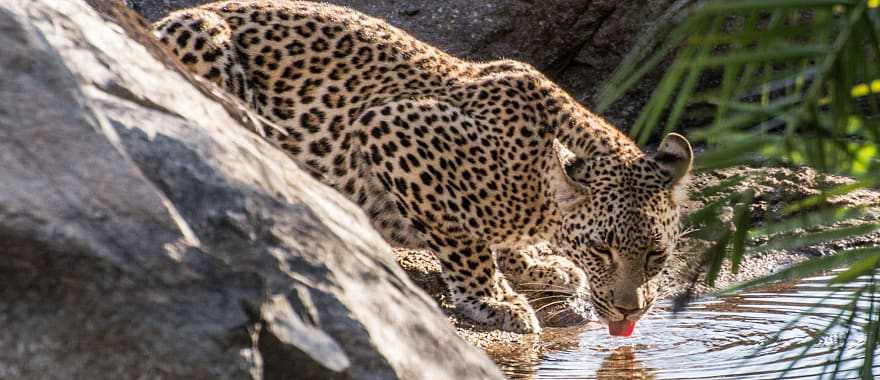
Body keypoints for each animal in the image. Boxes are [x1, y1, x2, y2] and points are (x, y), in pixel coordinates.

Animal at [153, 0, 696, 332]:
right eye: (603, 250)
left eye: (656, 255)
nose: (630, 309)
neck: (536, 190)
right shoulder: (390, 128)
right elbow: (465, 242)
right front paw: (495, 300)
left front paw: (538, 264)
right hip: (201, 33)